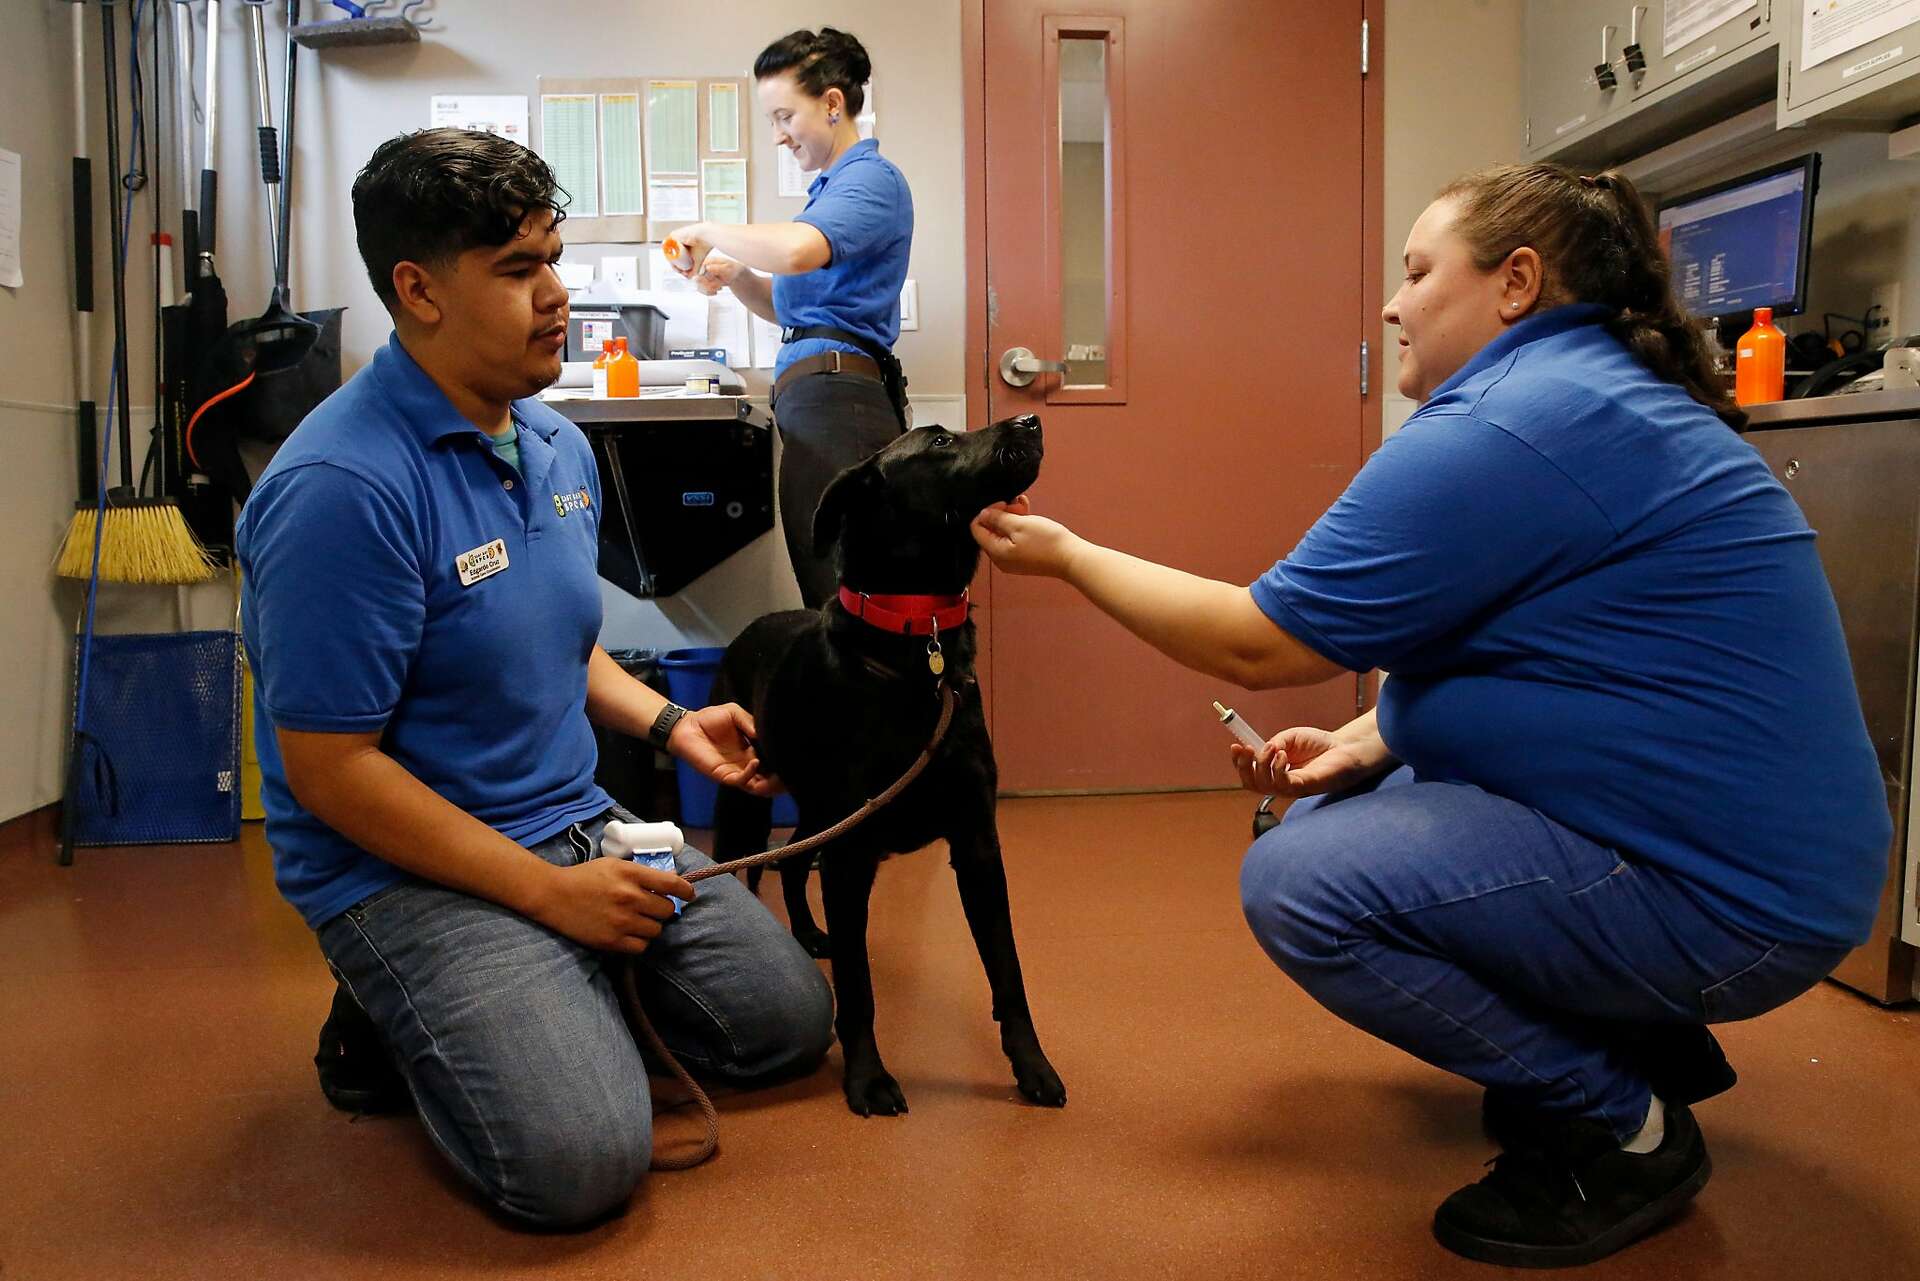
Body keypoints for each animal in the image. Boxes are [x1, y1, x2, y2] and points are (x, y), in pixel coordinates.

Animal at [710, 416, 1067, 1113]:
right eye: (941, 443)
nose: (1031, 421)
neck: (917, 643)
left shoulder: (976, 844)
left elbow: (1007, 971)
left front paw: (1031, 1065)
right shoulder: (851, 858)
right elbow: (858, 986)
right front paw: (868, 1078)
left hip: (820, 813)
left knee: (792, 862)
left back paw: (808, 934)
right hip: (746, 803)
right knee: (755, 865)